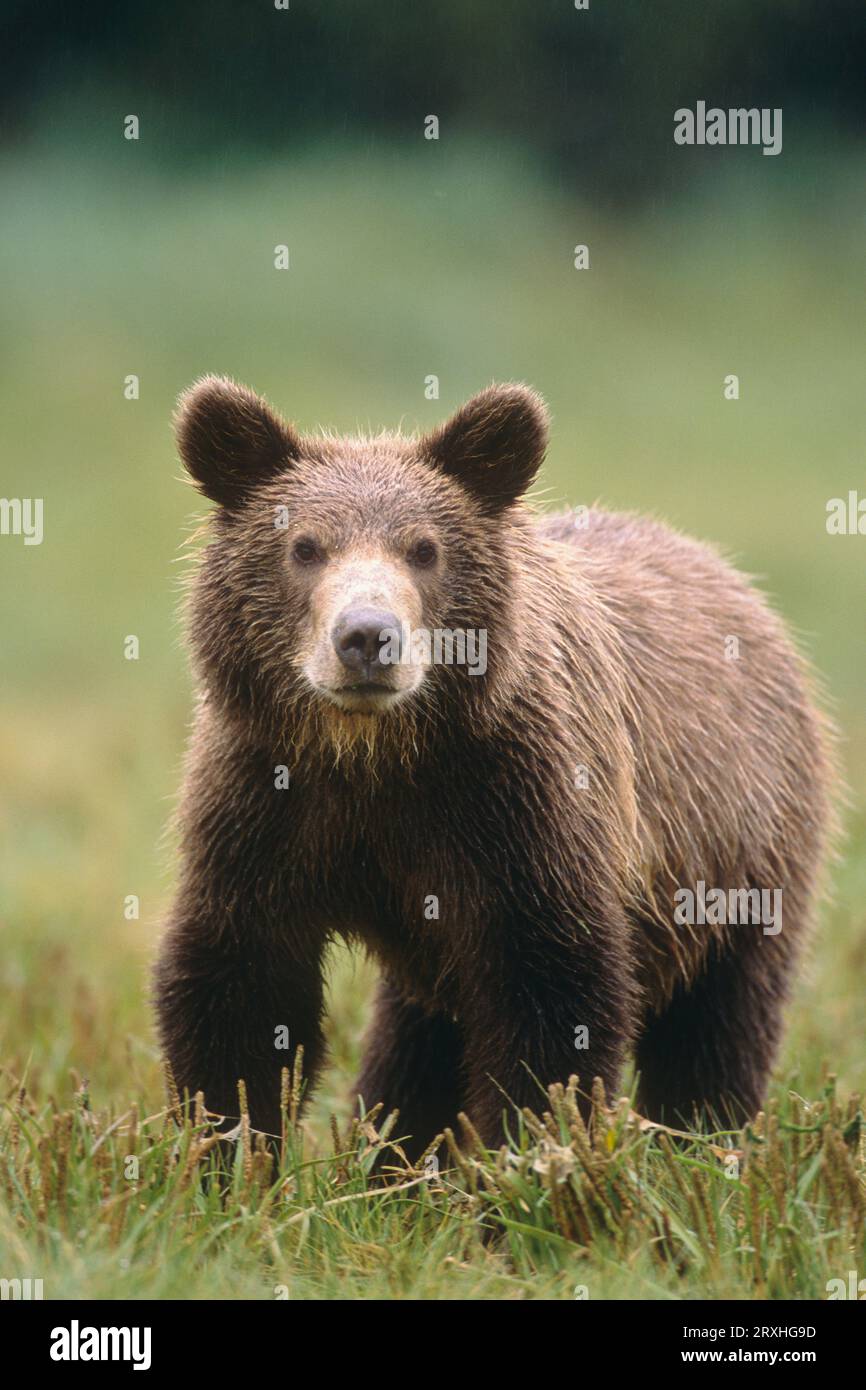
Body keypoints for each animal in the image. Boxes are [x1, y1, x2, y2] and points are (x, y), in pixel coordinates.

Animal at [154, 375, 836, 1155]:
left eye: (424, 549)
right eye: (304, 546)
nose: (367, 636)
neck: (376, 757)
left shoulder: (520, 812)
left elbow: (551, 1004)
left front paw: (527, 1159)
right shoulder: (267, 805)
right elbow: (240, 990)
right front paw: (229, 1153)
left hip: (740, 849)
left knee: (719, 1021)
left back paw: (702, 1138)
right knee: (418, 1036)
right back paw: (395, 1153)